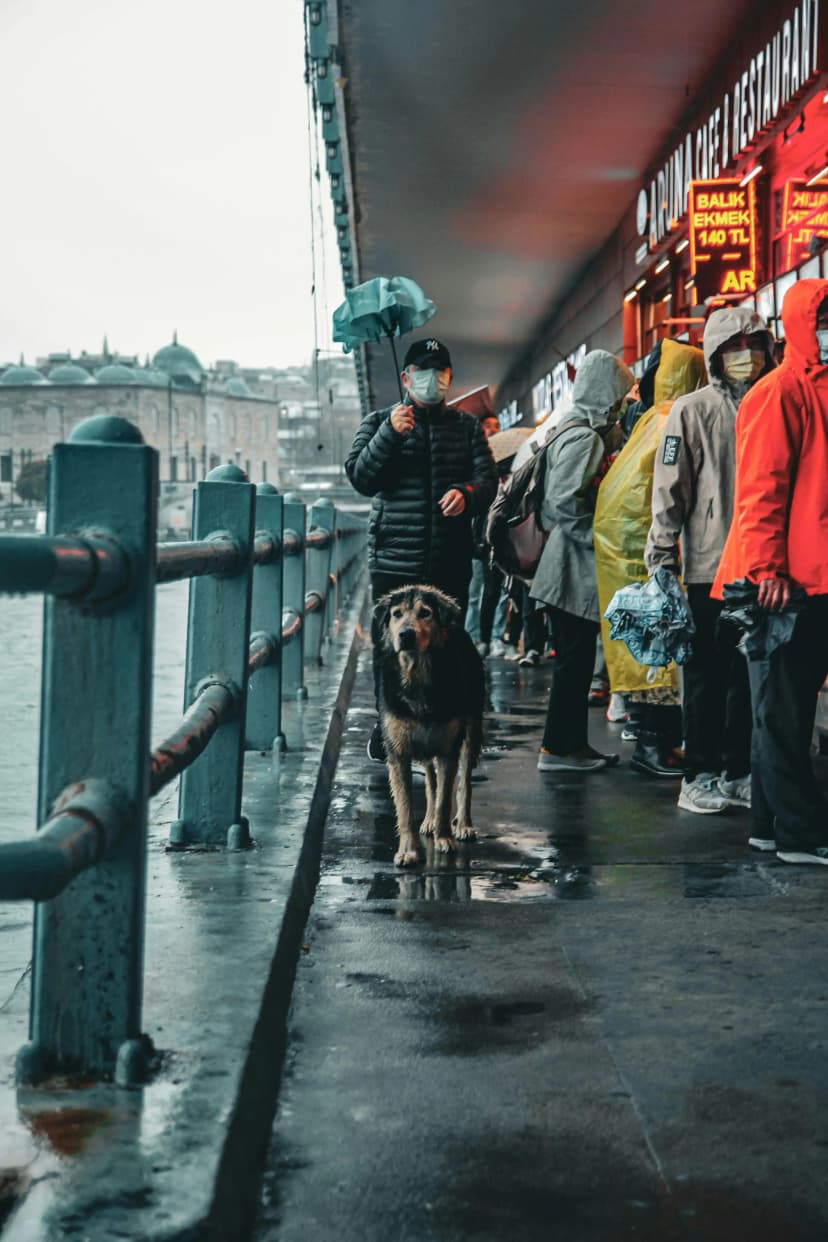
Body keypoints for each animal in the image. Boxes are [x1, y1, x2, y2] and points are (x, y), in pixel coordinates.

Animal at [374, 583, 486, 864]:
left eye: (425, 613)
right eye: (396, 614)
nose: (405, 635)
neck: (417, 675)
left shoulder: (449, 749)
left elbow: (445, 800)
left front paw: (444, 838)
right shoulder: (398, 752)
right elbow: (405, 807)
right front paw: (408, 851)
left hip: (471, 729)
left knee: (465, 782)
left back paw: (463, 825)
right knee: (430, 782)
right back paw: (429, 821)